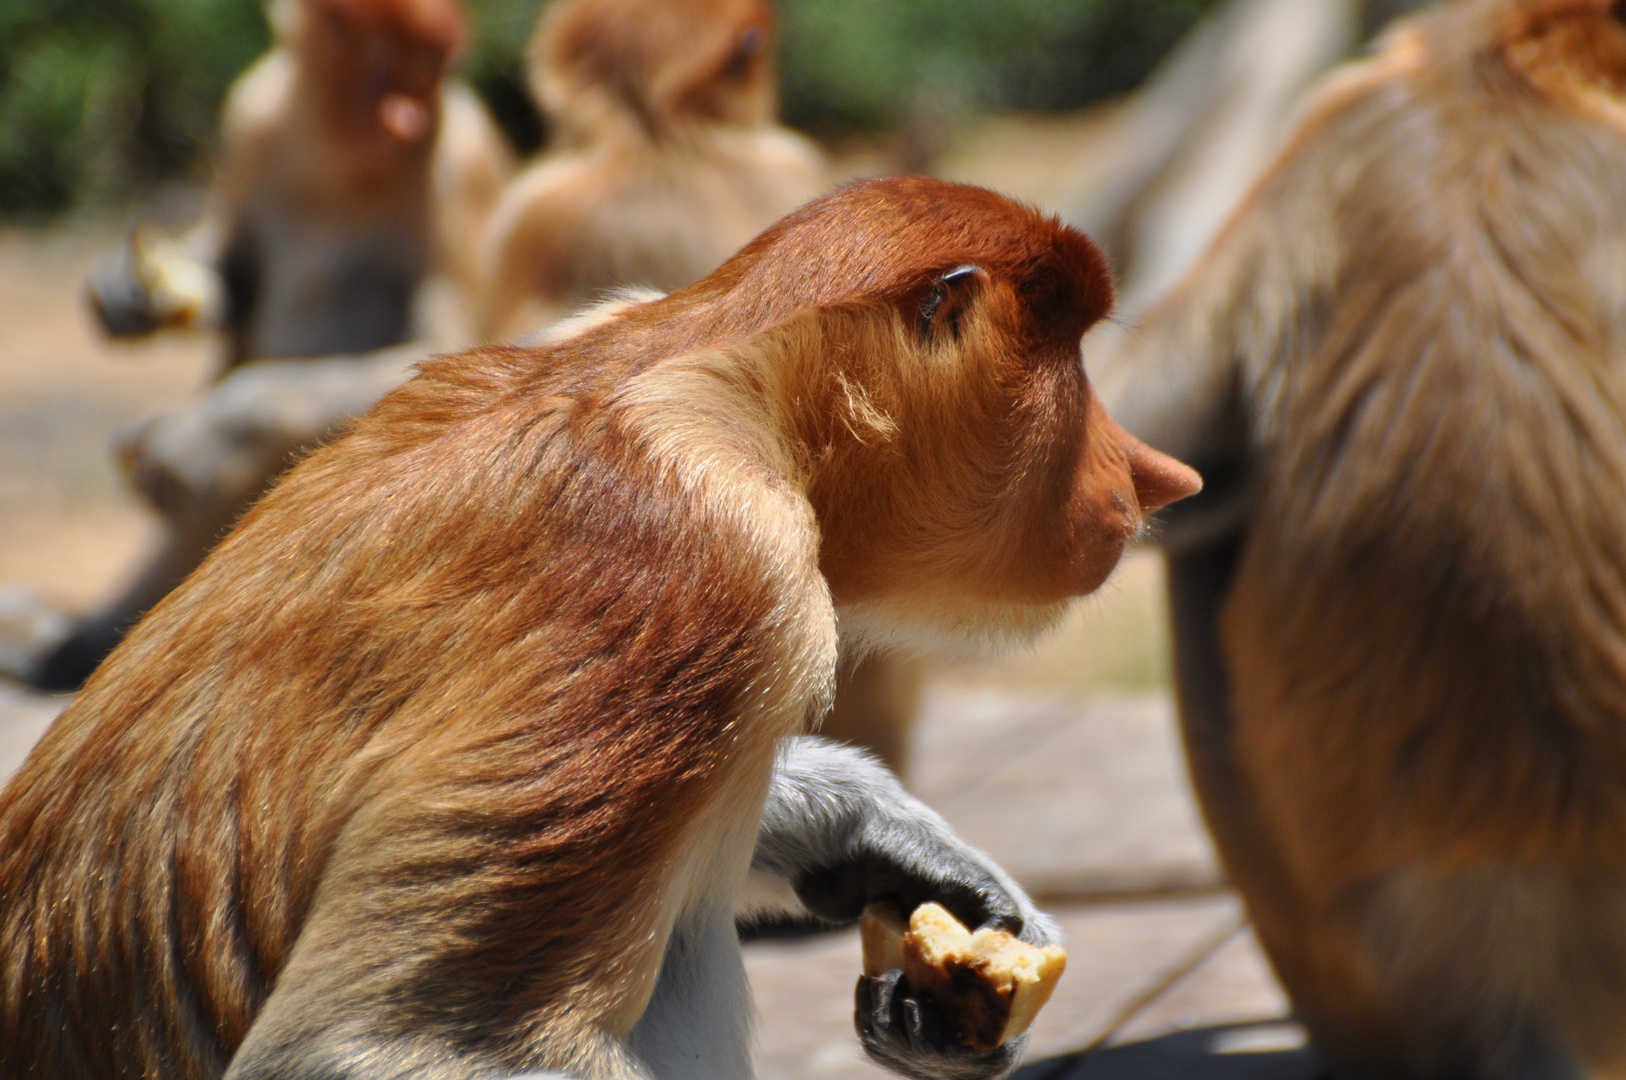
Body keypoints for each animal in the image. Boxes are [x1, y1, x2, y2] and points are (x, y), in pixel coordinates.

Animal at [0, 177, 1196, 1080]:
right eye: (1070, 366)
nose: (1153, 476)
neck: (709, 381)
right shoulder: (708, 569)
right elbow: (367, 1047)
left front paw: (903, 854)